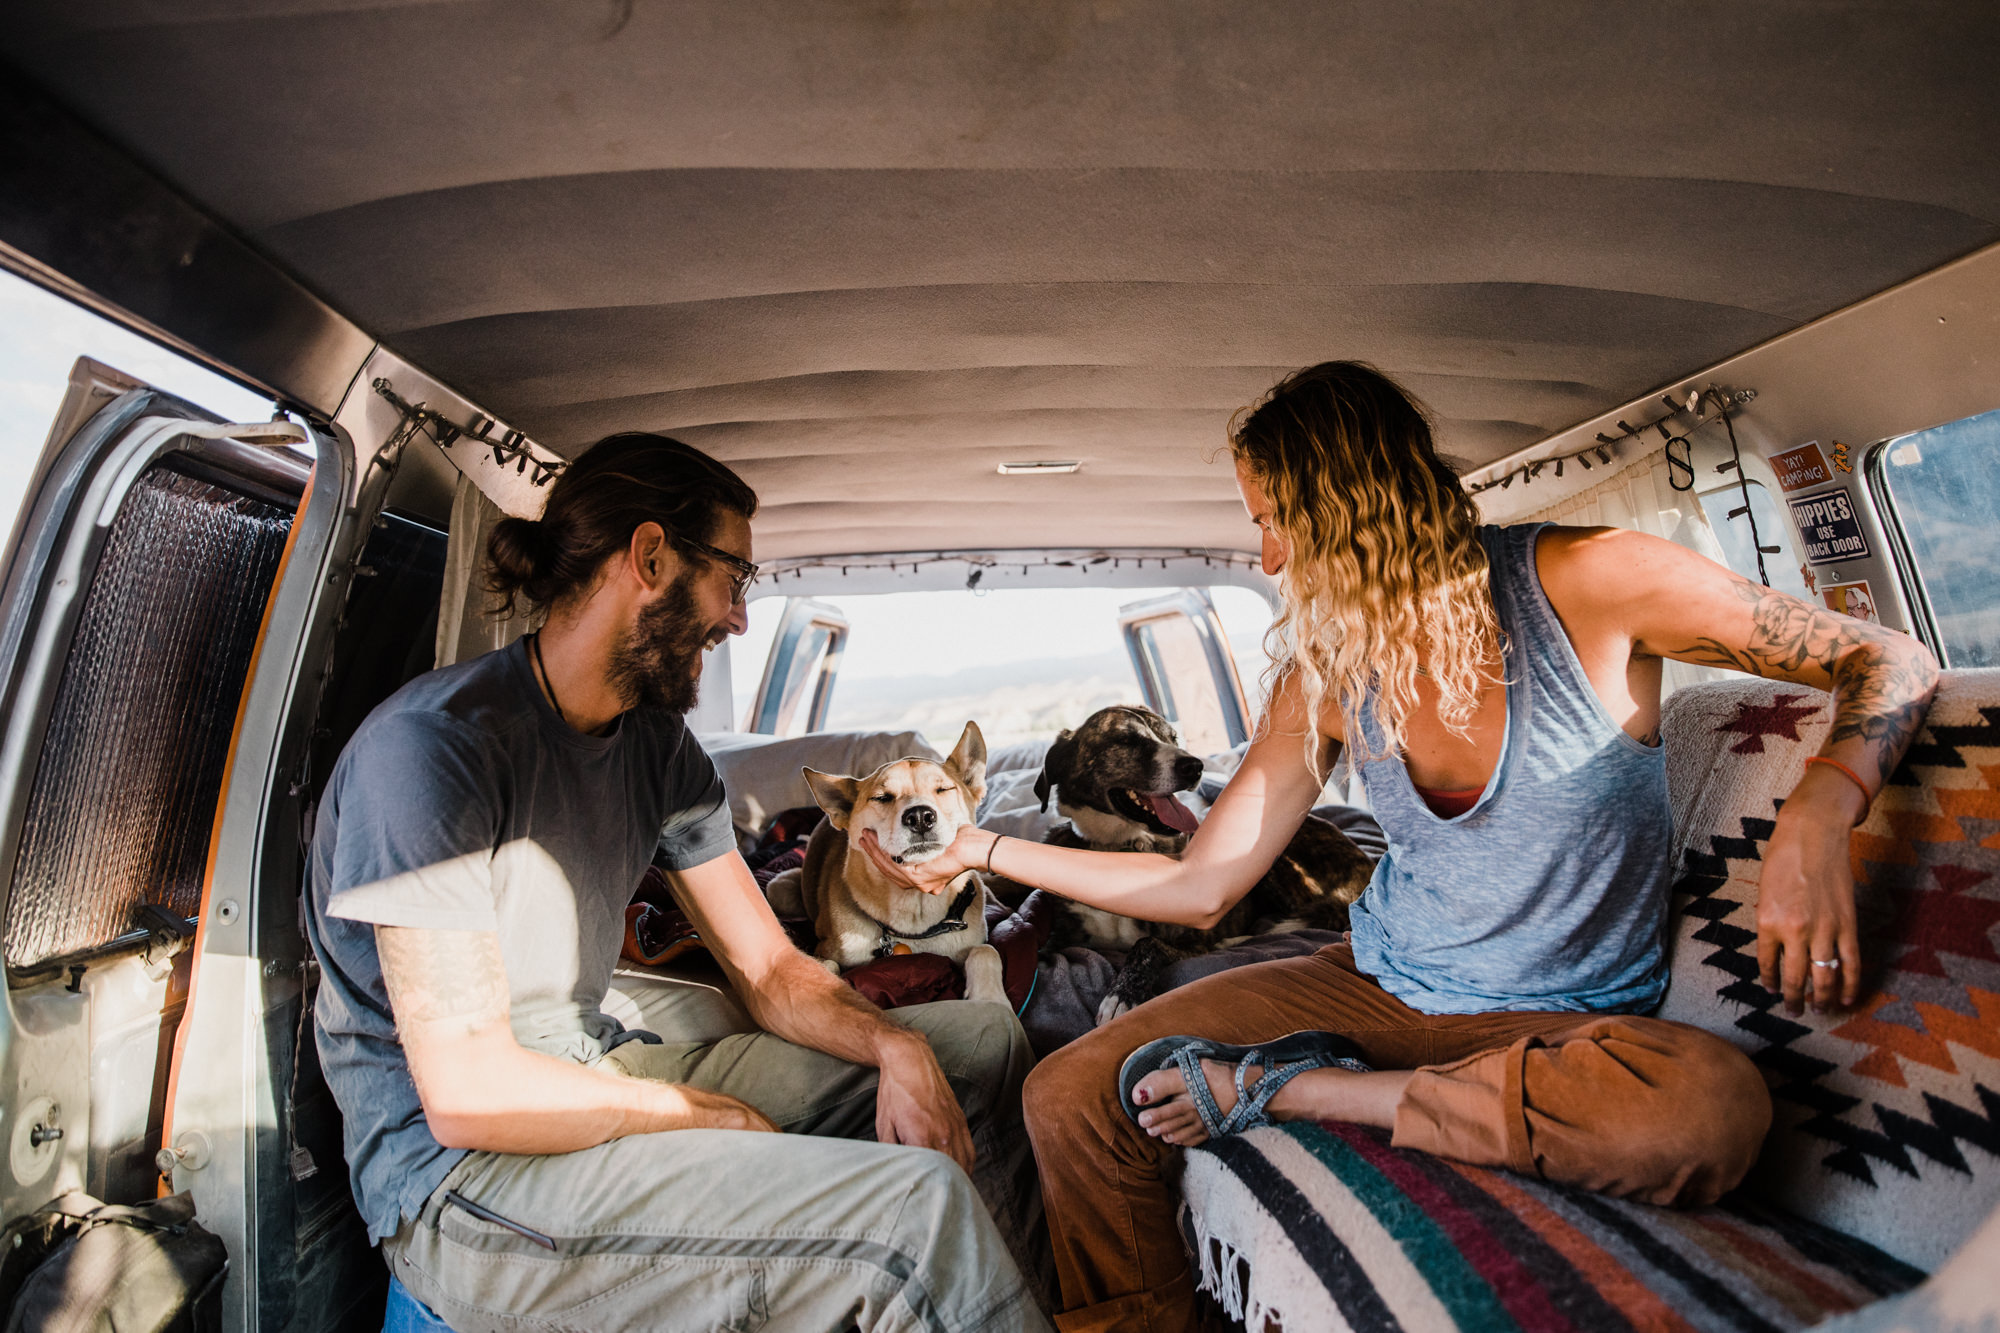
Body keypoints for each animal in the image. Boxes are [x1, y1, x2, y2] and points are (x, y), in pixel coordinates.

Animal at [772, 720, 1008, 1000]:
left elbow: (986, 950)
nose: (920, 817)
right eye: (882, 797)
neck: (916, 915)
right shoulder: (827, 950)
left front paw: (991, 998)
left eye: (943, 789)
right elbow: (827, 967)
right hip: (778, 889)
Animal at [1032, 704, 1376, 1016]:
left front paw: (1123, 994)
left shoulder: (1192, 938)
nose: (1194, 766)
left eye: (1172, 737)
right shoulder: (1060, 941)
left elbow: (1147, 944)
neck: (1121, 847)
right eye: (1126, 740)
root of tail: (1366, 863)